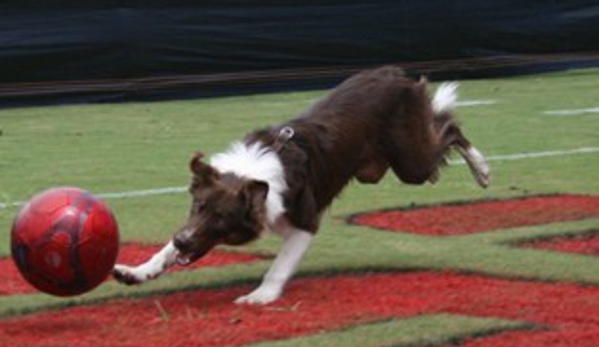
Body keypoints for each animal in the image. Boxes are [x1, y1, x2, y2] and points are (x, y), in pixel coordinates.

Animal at [113, 65, 492, 304]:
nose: (183, 240)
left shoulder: (305, 222)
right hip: (384, 167)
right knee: (437, 143)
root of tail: (397, 75)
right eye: (197, 206)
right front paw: (136, 271)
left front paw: (261, 296)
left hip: (411, 161)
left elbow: (279, 266)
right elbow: (163, 251)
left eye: (221, 218)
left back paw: (482, 168)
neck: (253, 174)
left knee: (449, 129)